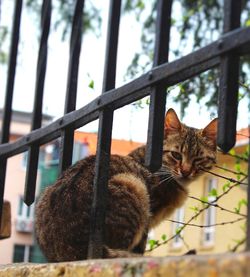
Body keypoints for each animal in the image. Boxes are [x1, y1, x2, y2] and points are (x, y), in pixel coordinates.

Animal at [35, 108, 217, 260]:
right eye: (176, 155)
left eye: (198, 159)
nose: (186, 171)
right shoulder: (148, 219)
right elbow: (140, 248)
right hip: (134, 188)